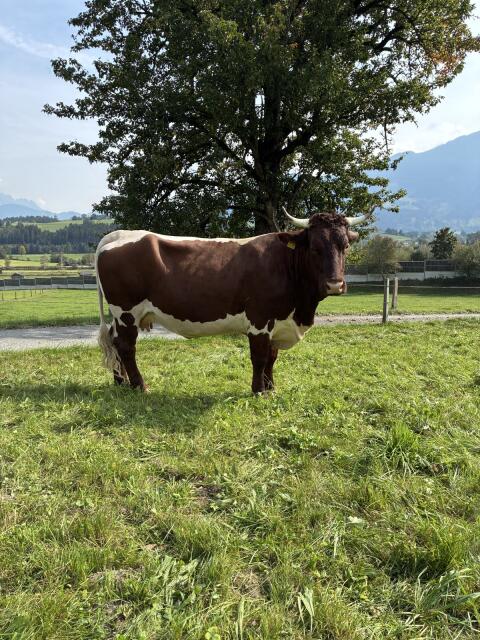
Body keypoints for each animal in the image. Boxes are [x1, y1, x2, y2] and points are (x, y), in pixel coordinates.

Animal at [95, 211, 364, 393]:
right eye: (315, 247)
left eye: (345, 246)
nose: (335, 285)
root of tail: (120, 234)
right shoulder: (260, 319)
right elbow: (260, 356)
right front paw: (258, 390)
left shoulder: (278, 321)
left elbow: (272, 356)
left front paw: (271, 387)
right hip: (126, 311)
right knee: (126, 347)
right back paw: (139, 386)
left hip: (121, 316)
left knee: (114, 340)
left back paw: (120, 382)